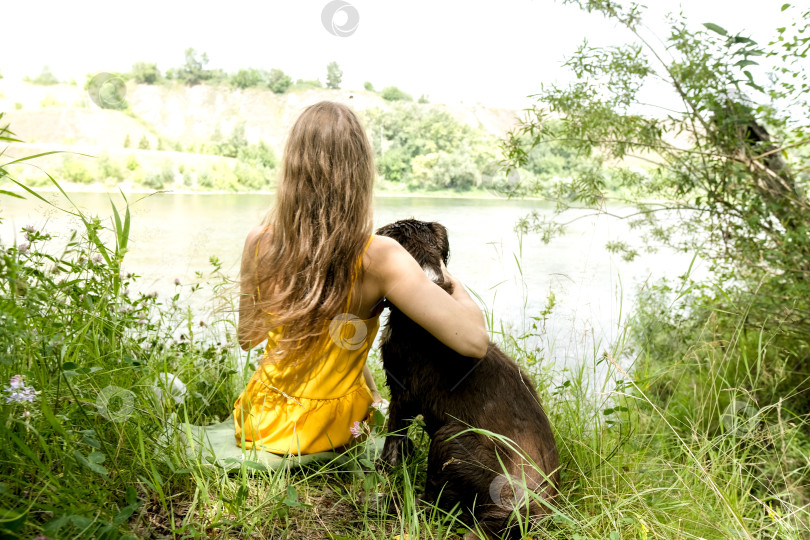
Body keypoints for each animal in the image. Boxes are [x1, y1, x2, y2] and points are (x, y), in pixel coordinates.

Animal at [376, 218, 560, 536]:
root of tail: (528, 512)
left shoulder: (403, 392)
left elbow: (393, 438)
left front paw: (386, 467)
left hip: (451, 439)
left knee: (436, 504)